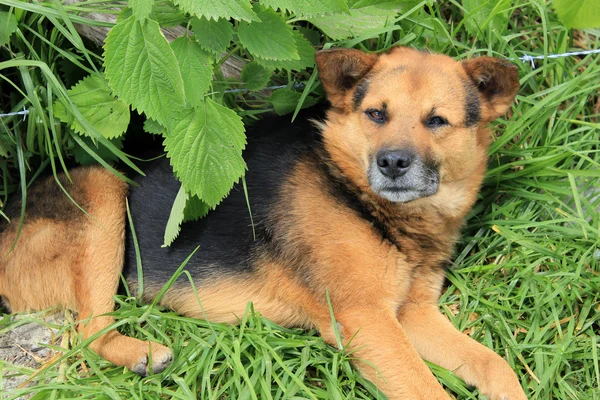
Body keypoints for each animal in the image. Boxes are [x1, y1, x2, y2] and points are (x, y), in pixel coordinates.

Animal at [0, 47, 524, 400]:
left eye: (437, 121)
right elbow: (427, 388)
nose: (393, 163)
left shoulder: (411, 314)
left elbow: (496, 365)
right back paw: (141, 354)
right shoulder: (365, 320)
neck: (358, 196)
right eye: (376, 114)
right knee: (84, 334)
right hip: (102, 189)